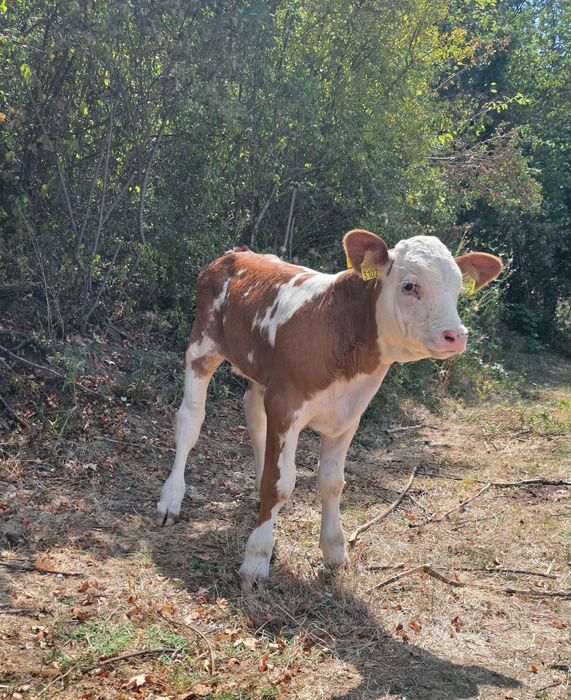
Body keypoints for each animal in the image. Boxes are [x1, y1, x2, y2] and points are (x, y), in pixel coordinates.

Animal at [156, 229, 503, 590]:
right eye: (410, 285)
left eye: (459, 288)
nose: (457, 336)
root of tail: (236, 253)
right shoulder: (286, 405)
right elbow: (279, 483)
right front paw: (256, 558)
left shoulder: (348, 416)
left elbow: (332, 481)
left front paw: (334, 550)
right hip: (202, 345)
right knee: (190, 420)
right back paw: (171, 499)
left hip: (262, 372)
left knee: (253, 415)